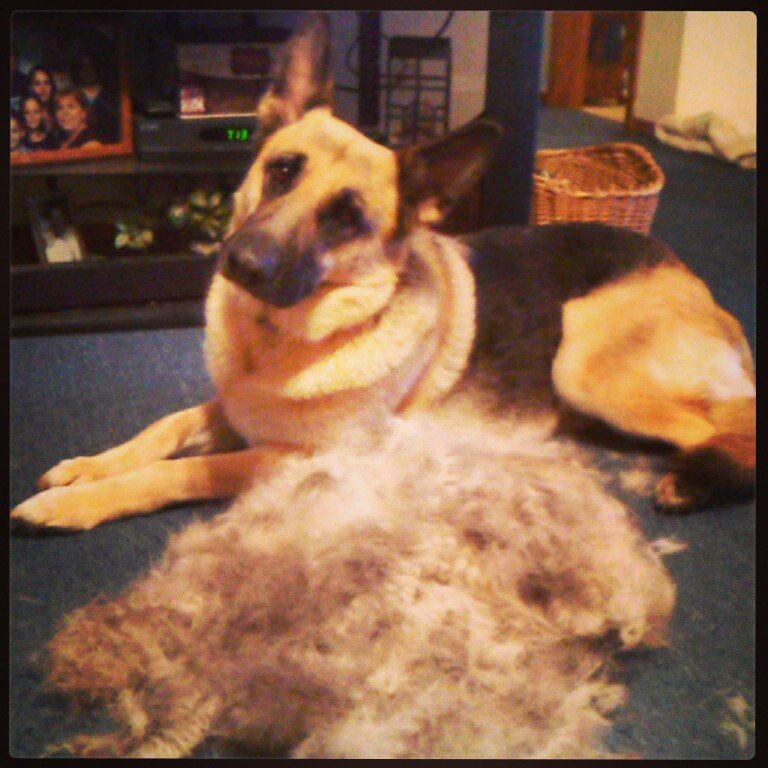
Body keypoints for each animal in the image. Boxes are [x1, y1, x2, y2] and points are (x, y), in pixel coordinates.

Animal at [13, 15, 756, 532]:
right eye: (282, 170)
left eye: (347, 219)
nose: (242, 266)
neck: (273, 342)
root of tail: (688, 275)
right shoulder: (233, 408)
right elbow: (160, 431)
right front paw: (85, 469)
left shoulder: (291, 458)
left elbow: (184, 471)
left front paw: (80, 503)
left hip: (581, 361)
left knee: (736, 433)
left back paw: (694, 481)